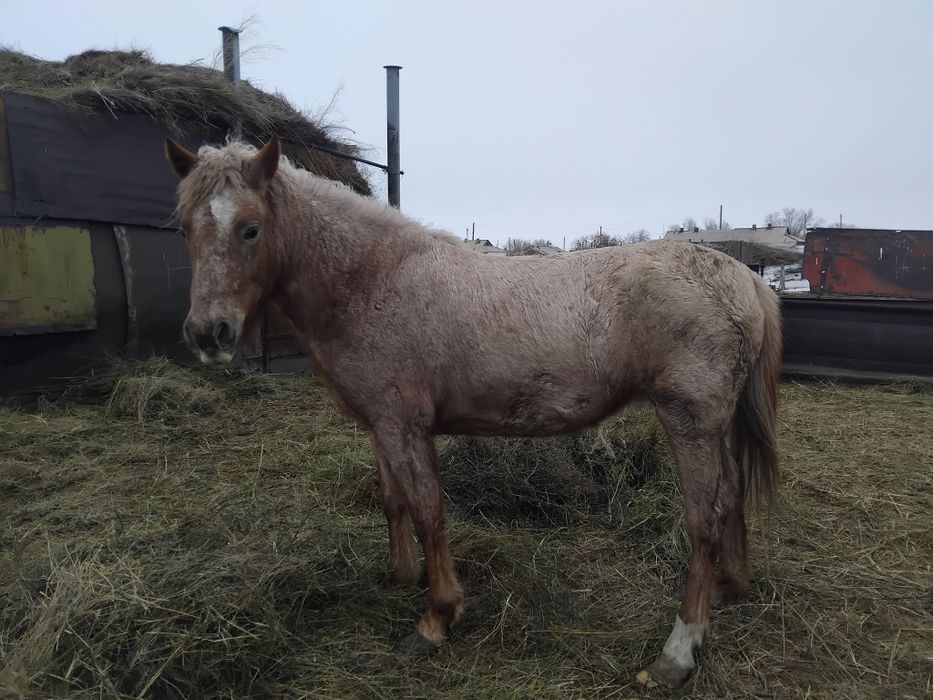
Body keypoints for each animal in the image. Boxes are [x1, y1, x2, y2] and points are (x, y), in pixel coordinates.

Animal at [165, 135, 781, 688]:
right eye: (185, 228)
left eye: (250, 228)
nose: (208, 334)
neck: (373, 281)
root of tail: (746, 278)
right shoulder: (380, 426)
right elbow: (393, 503)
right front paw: (401, 577)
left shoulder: (406, 427)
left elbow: (428, 512)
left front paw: (436, 617)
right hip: (713, 425)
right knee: (731, 494)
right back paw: (728, 587)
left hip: (689, 421)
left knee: (704, 517)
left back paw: (677, 653)